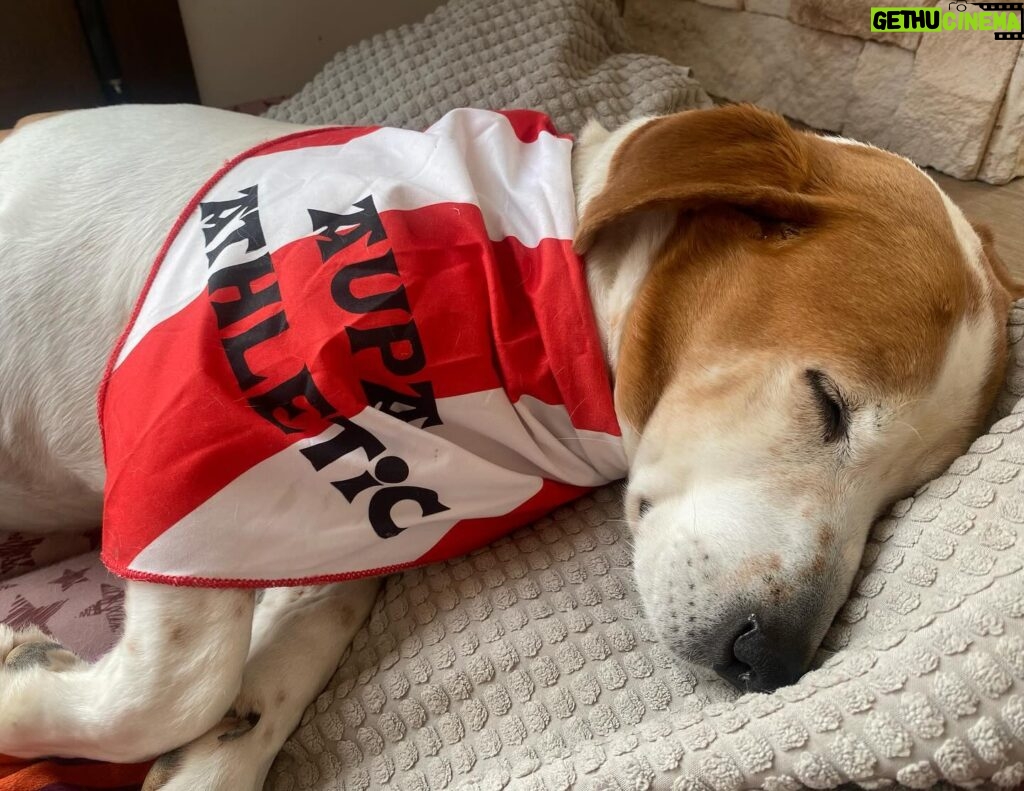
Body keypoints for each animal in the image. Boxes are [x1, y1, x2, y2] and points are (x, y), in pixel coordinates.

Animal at [0, 105, 1015, 790]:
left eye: (901, 493)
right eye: (827, 403)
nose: (768, 660)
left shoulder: (340, 522)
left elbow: (273, 661)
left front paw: (214, 751)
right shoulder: (190, 453)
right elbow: (180, 682)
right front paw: (21, 684)